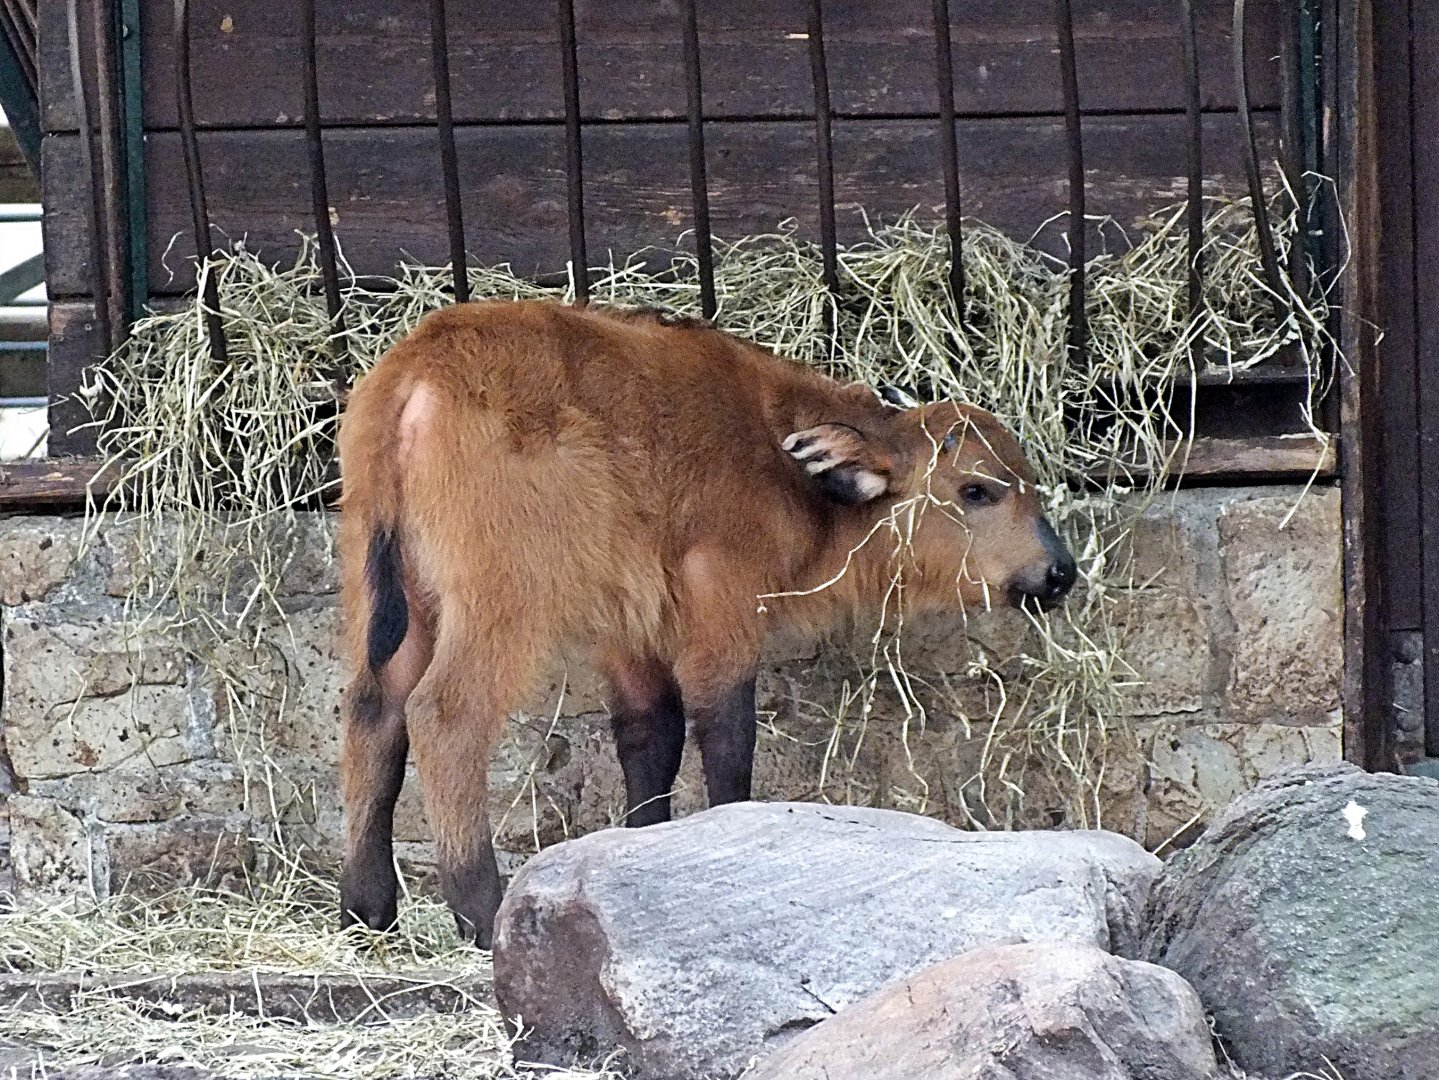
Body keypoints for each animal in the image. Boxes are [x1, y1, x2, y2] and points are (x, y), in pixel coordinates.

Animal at [336, 299, 1077, 946]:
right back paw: (482, 911)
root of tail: (418, 371)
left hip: (394, 602)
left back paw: (367, 909)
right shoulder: (722, 611)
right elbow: (726, 734)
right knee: (444, 717)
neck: (777, 454)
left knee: (374, 708)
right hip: (499, 604)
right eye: (975, 489)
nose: (1059, 573)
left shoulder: (629, 631)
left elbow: (650, 738)